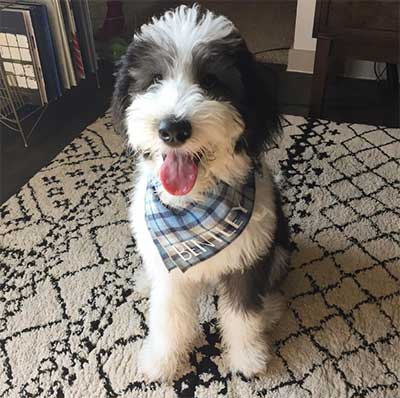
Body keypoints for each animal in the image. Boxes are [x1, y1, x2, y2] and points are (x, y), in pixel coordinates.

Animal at [111, 4, 290, 380]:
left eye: (211, 82)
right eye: (155, 80)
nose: (173, 129)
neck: (194, 205)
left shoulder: (249, 257)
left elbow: (242, 314)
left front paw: (247, 357)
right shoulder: (169, 268)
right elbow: (167, 316)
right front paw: (161, 360)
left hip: (279, 247)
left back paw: (271, 309)